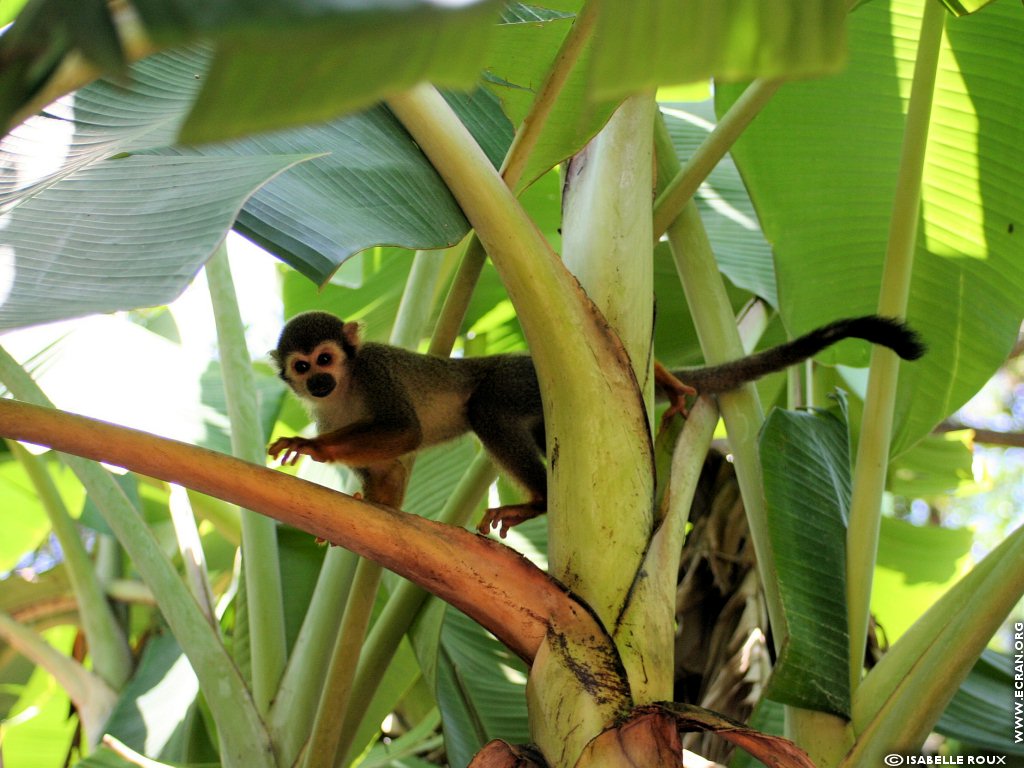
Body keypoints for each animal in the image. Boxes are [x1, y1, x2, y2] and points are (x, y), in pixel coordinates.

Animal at [268, 309, 925, 536]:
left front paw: (314, 450)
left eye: (327, 359)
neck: (347, 390)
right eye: (302, 368)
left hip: (522, 377)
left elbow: (404, 431)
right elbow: (391, 465)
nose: (318, 381)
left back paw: (536, 502)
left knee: (485, 408)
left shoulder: (375, 373)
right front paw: (375, 512)